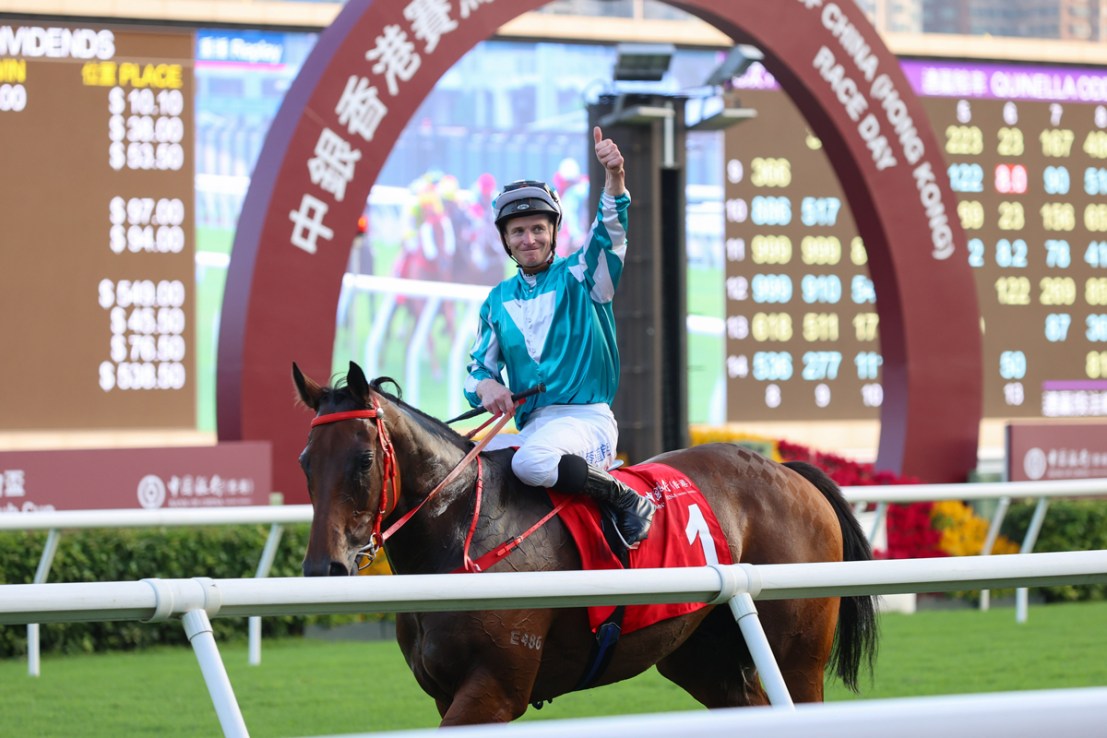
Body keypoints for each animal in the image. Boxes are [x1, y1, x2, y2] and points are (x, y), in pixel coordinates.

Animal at [290, 360, 876, 725]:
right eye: (305, 462)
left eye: (364, 460)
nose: (324, 569)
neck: (463, 537)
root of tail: (791, 471)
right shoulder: (445, 692)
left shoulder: (494, 689)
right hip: (701, 655)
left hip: (795, 653)